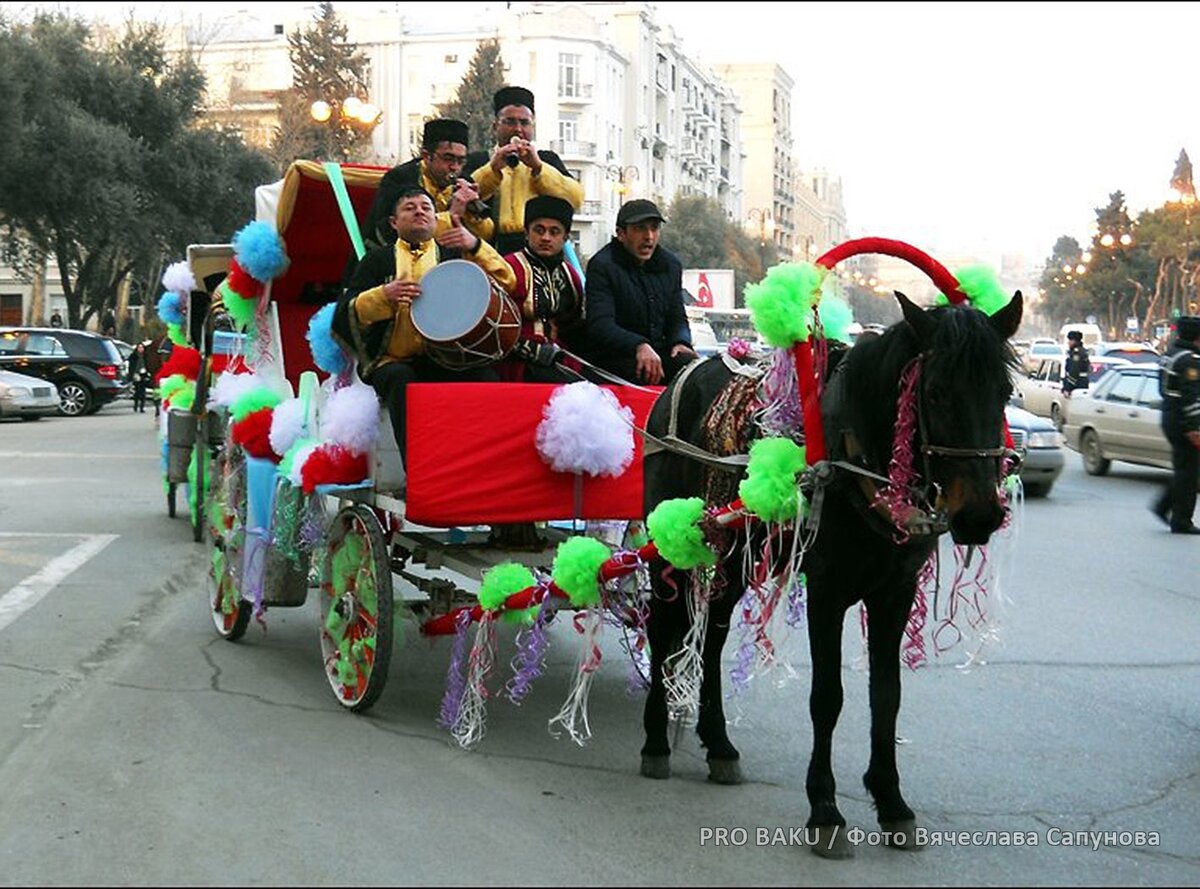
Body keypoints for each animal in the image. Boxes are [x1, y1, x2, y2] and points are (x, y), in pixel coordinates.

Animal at [638, 287, 1022, 854]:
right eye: (934, 393)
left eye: (1006, 389)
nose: (979, 515)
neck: (857, 456)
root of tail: (679, 378)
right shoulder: (827, 590)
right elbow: (828, 698)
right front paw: (824, 808)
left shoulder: (895, 592)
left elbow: (887, 697)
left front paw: (891, 800)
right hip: (672, 542)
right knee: (663, 627)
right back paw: (655, 741)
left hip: (735, 554)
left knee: (714, 637)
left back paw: (719, 744)